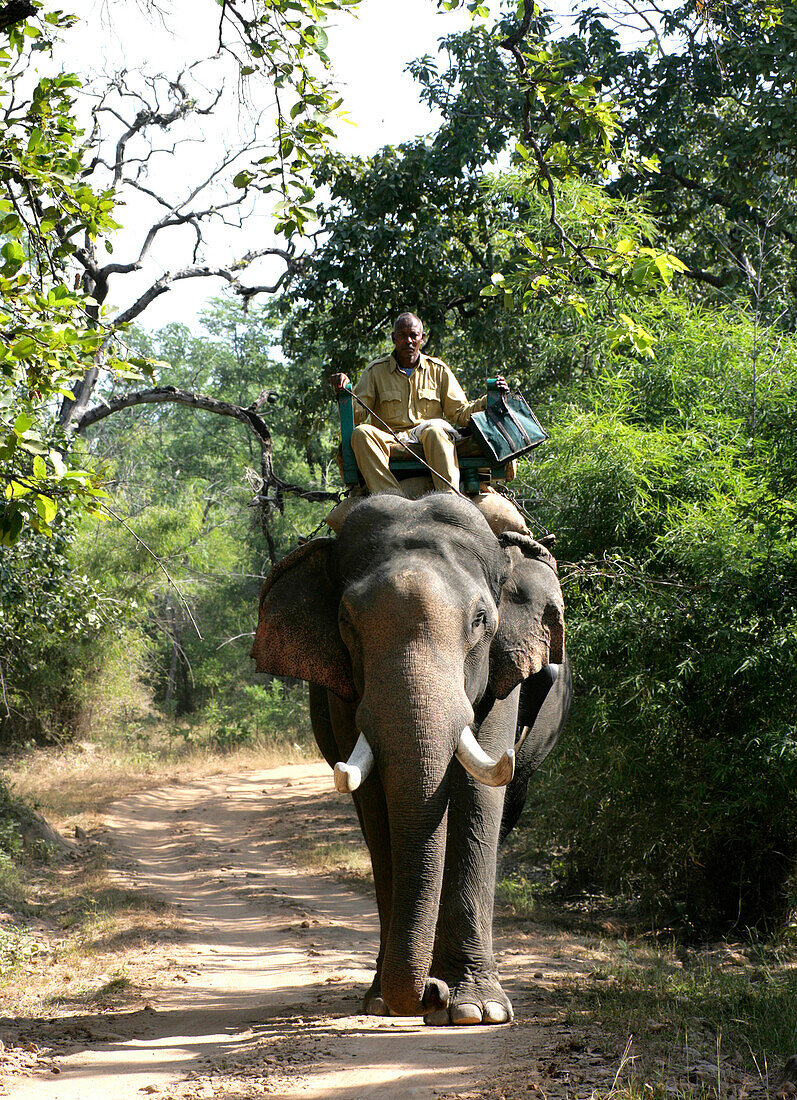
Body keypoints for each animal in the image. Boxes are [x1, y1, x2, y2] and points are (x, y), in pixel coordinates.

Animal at [251, 490, 567, 1020]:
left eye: (481, 620)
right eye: (345, 622)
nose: (431, 994)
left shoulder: (503, 677)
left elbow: (478, 793)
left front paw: (477, 1011)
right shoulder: (342, 693)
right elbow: (377, 803)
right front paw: (383, 1000)